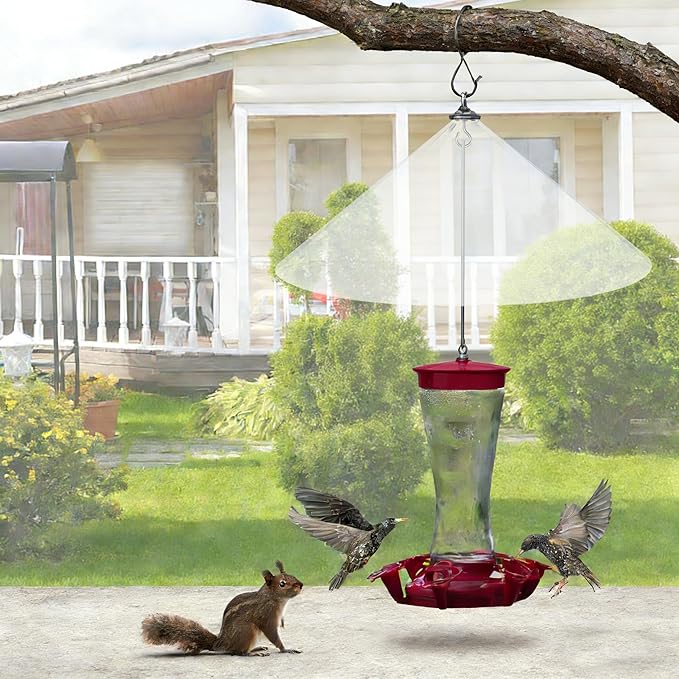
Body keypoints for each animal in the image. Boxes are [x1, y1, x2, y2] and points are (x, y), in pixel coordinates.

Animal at [141, 560, 303, 656]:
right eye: (282, 583)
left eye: (292, 575)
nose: (300, 585)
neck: (273, 598)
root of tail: (221, 643)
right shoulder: (266, 615)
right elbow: (272, 634)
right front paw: (285, 649)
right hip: (247, 630)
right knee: (238, 652)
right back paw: (252, 653)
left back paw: (256, 648)